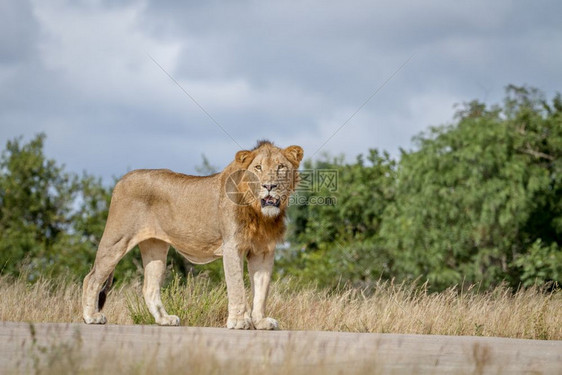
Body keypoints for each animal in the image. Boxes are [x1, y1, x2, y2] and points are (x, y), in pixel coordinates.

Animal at [82, 140, 302, 328]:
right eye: (258, 168)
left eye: (281, 167)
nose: (269, 186)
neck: (260, 213)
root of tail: (122, 179)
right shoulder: (232, 246)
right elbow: (237, 286)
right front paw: (239, 321)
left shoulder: (263, 251)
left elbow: (261, 290)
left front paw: (260, 321)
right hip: (116, 240)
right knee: (91, 278)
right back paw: (91, 317)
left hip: (155, 247)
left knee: (149, 288)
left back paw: (164, 319)